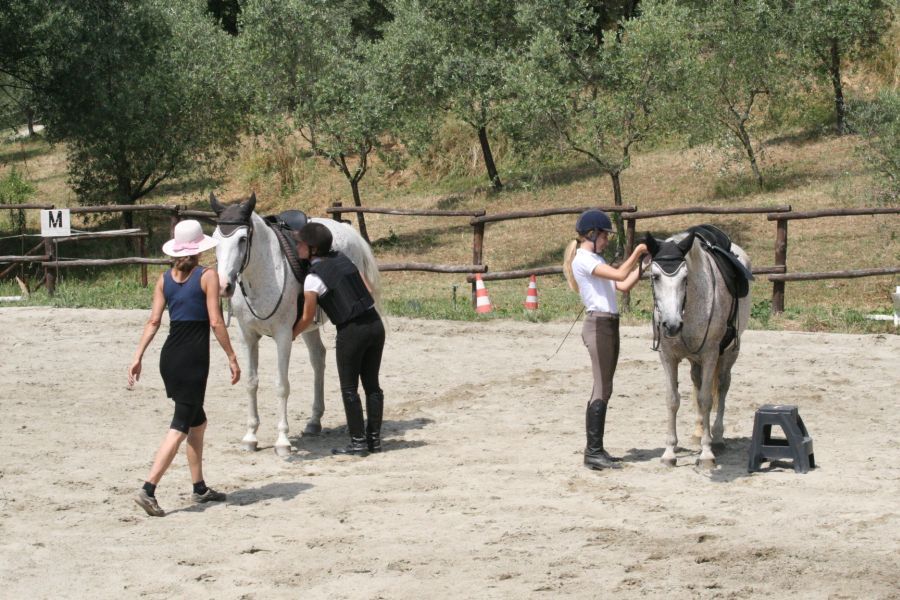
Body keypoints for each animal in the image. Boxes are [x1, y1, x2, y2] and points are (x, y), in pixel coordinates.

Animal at [211, 195, 380, 458]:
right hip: (309, 328)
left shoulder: (283, 336)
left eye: (242, 239)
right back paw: (314, 421)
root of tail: (348, 230)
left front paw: (282, 442)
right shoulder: (247, 336)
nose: (224, 286)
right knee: (318, 358)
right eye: (216, 240)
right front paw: (250, 436)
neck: (263, 274)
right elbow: (250, 382)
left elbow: (282, 386)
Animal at [648, 227, 752, 466]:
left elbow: (706, 400)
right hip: (695, 359)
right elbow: (672, 400)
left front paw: (706, 453)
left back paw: (718, 437)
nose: (671, 325)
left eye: (685, 278)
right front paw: (669, 452)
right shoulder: (668, 357)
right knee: (697, 383)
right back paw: (698, 432)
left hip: (729, 353)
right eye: (655, 276)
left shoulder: (710, 355)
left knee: (721, 387)